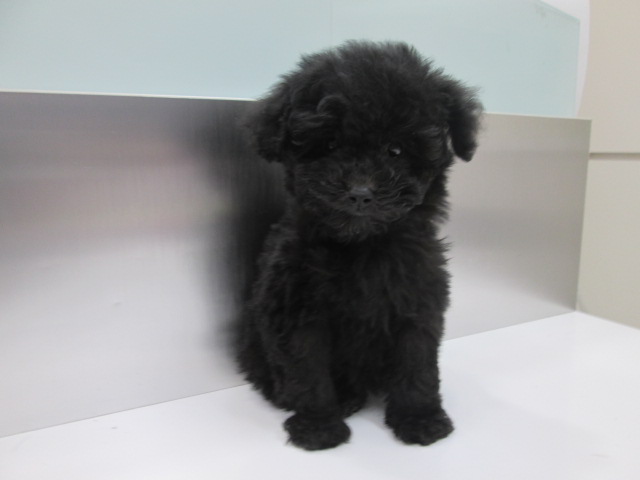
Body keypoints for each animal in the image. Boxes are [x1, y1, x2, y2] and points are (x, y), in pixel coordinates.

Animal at [236, 41, 482, 450]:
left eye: (395, 150)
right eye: (330, 144)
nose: (360, 193)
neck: (363, 247)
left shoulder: (418, 303)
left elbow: (417, 364)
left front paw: (420, 418)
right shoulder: (297, 313)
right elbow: (307, 371)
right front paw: (318, 426)